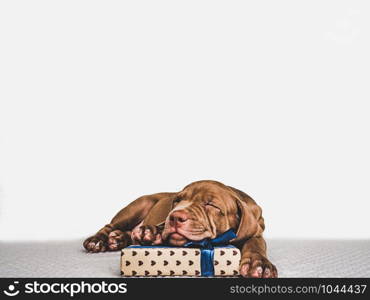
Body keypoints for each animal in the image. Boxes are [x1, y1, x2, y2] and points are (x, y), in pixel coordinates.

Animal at [82, 179, 276, 278]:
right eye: (176, 201)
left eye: (210, 205)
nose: (175, 216)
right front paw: (152, 232)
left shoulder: (256, 231)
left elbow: (255, 242)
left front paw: (259, 264)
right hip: (139, 205)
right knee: (110, 226)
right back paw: (98, 241)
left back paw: (117, 239)